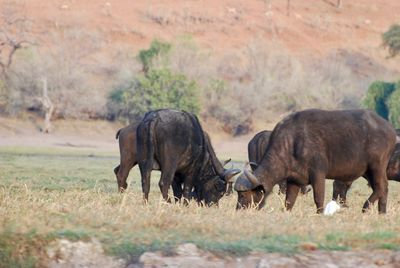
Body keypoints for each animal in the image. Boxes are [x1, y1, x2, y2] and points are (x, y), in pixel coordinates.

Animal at [234, 109, 396, 214]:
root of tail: (390, 129)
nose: (239, 210)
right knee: (382, 188)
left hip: (377, 166)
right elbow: (289, 201)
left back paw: (366, 207)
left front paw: (320, 213)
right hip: (367, 171)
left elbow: (318, 197)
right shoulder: (294, 179)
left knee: (382, 187)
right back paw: (382, 211)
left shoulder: (318, 174)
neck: (291, 143)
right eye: (238, 194)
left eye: (243, 195)